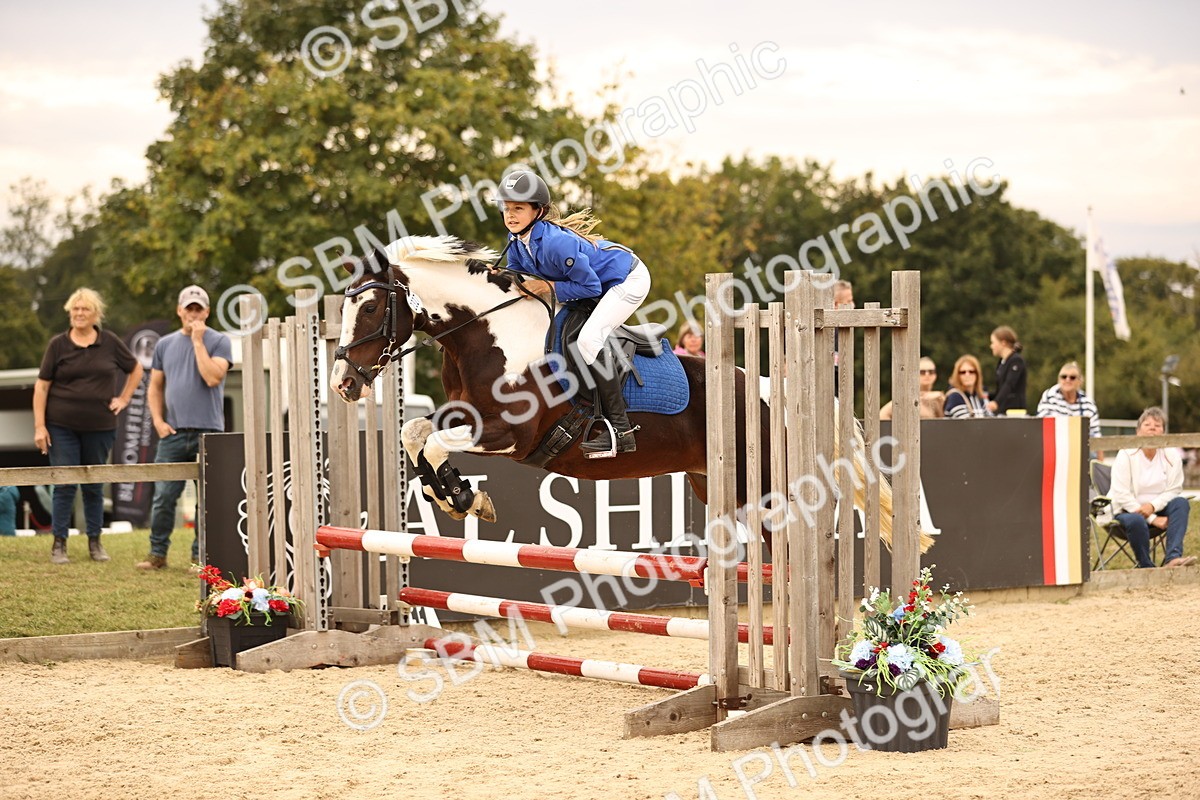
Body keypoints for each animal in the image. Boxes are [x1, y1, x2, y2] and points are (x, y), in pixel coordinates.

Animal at [329, 235, 915, 550]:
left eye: (373, 307)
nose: (343, 383)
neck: (488, 334)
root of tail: (781, 391)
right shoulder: (460, 415)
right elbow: (414, 433)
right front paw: (450, 495)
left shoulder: (506, 434)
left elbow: (432, 442)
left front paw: (463, 496)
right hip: (720, 486)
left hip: (771, 491)